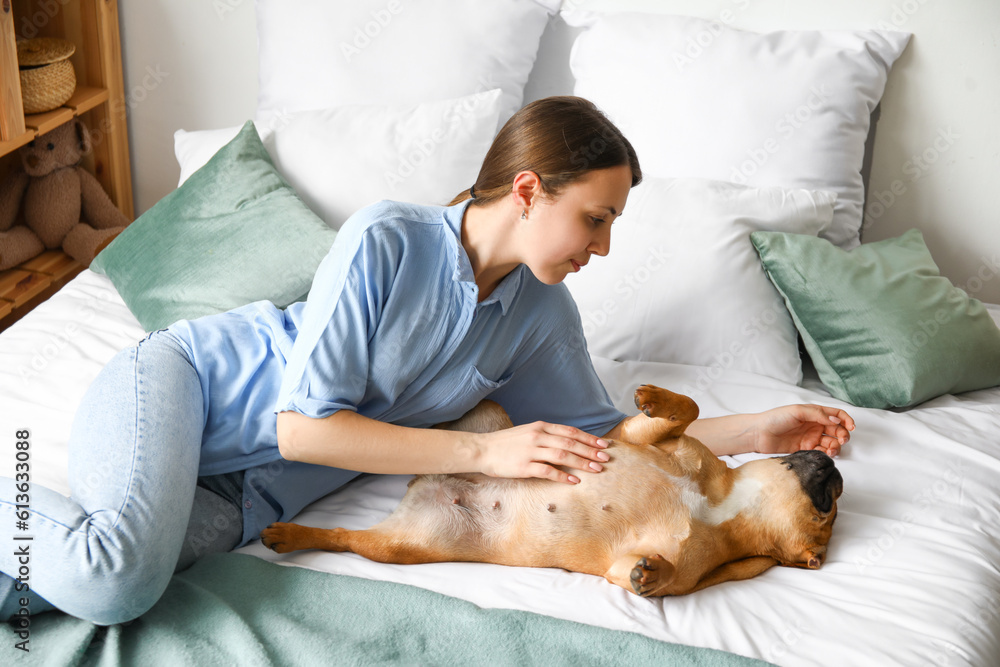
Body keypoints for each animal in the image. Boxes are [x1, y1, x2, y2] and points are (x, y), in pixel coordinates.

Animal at [262, 384, 840, 596]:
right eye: (831, 505)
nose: (833, 467)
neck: (722, 505)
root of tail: (424, 483)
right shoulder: (644, 437)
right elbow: (686, 408)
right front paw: (655, 395)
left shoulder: (636, 566)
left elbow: (647, 576)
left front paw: (651, 572)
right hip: (487, 414)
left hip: (403, 545)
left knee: (341, 535)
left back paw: (289, 535)